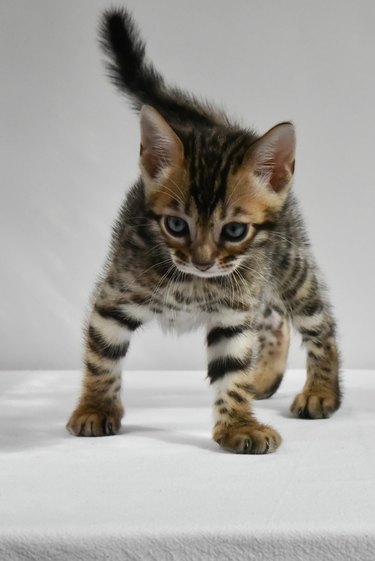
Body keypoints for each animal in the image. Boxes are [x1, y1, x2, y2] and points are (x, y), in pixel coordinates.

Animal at [66, 8, 342, 452]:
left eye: (234, 231)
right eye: (176, 225)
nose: (203, 262)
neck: (192, 285)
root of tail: (224, 128)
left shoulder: (233, 314)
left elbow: (231, 372)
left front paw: (238, 426)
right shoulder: (113, 299)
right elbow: (101, 359)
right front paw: (95, 408)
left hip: (289, 266)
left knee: (318, 323)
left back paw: (321, 392)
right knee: (274, 319)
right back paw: (266, 376)